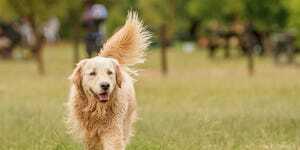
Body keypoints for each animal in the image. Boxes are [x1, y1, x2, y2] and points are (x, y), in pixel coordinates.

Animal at [65, 11, 150, 149]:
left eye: (110, 72)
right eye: (92, 73)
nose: (105, 85)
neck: (98, 109)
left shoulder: (112, 129)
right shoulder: (89, 134)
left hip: (126, 121)